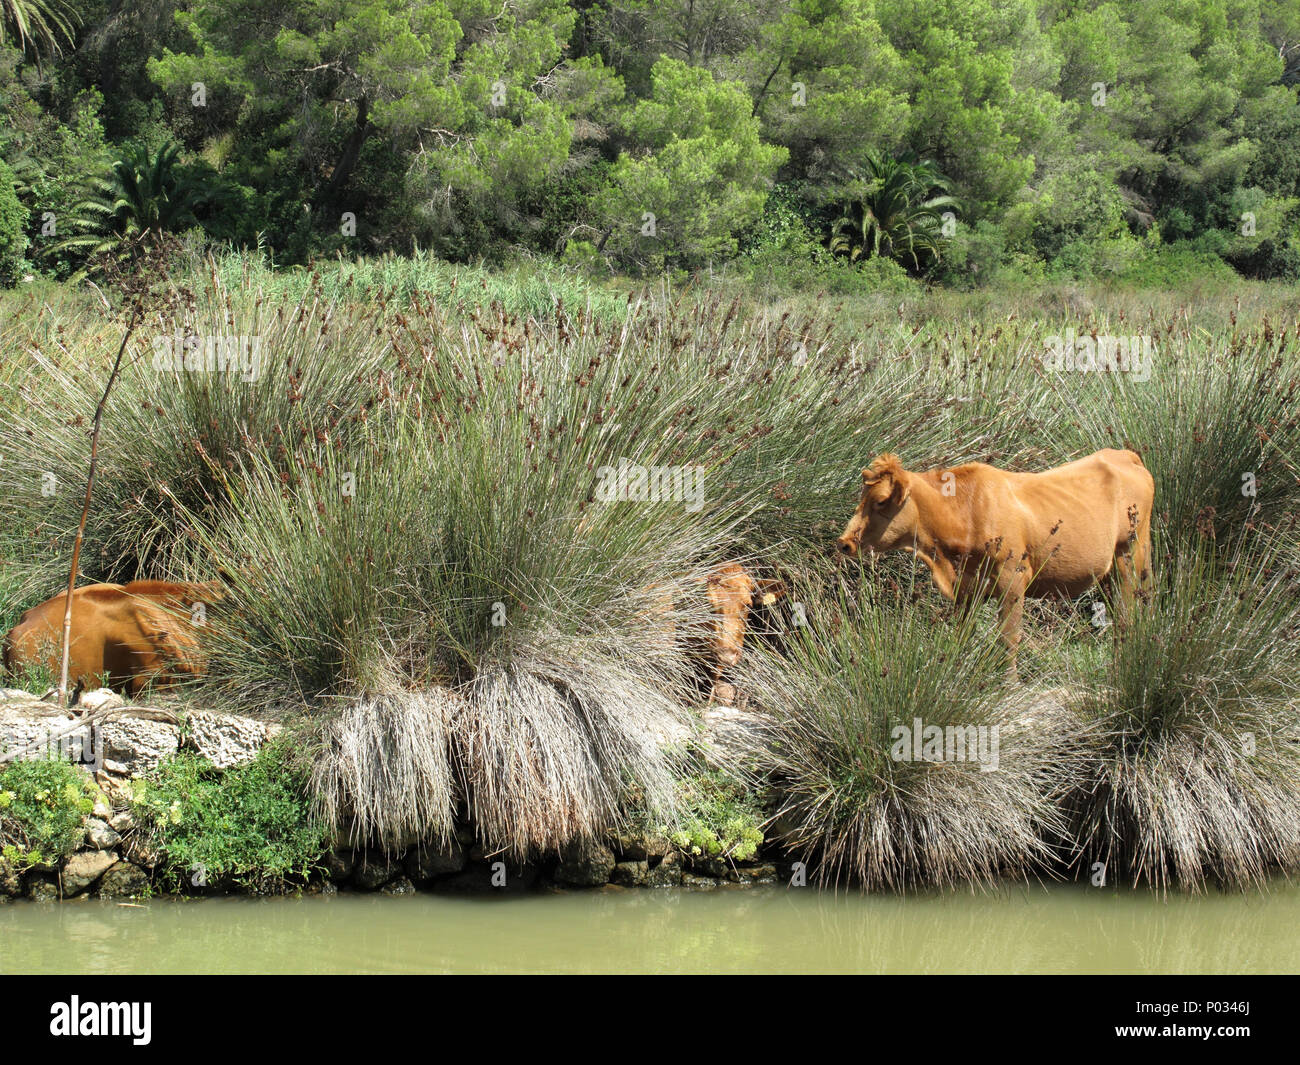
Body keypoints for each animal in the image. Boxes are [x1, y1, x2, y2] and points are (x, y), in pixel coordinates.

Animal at [836, 449, 1154, 677]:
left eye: (880, 501)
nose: (844, 542)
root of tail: (1122, 454)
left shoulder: (1013, 579)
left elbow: (1008, 639)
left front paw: (1008, 687)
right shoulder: (966, 590)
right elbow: (962, 636)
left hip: (1130, 555)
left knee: (1127, 618)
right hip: (1110, 572)